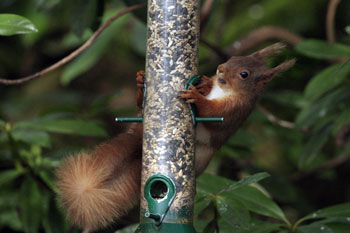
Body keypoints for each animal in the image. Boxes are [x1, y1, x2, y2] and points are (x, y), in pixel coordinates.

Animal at [56, 43, 294, 231]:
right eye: (232, 58)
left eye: (244, 74)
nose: (220, 68)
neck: (223, 90)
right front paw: (202, 83)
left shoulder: (234, 111)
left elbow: (212, 115)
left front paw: (196, 95)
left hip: (199, 161)